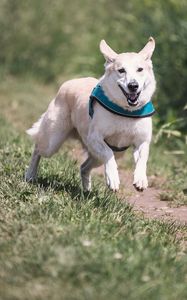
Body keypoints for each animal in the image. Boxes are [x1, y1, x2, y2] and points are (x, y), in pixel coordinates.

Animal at [25, 37, 156, 192]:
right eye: (121, 70)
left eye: (140, 69)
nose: (133, 86)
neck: (126, 111)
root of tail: (69, 82)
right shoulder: (94, 138)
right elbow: (108, 153)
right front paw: (113, 179)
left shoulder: (142, 141)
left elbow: (143, 159)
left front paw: (141, 179)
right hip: (52, 141)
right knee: (37, 149)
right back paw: (30, 175)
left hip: (109, 154)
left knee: (84, 167)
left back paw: (87, 190)